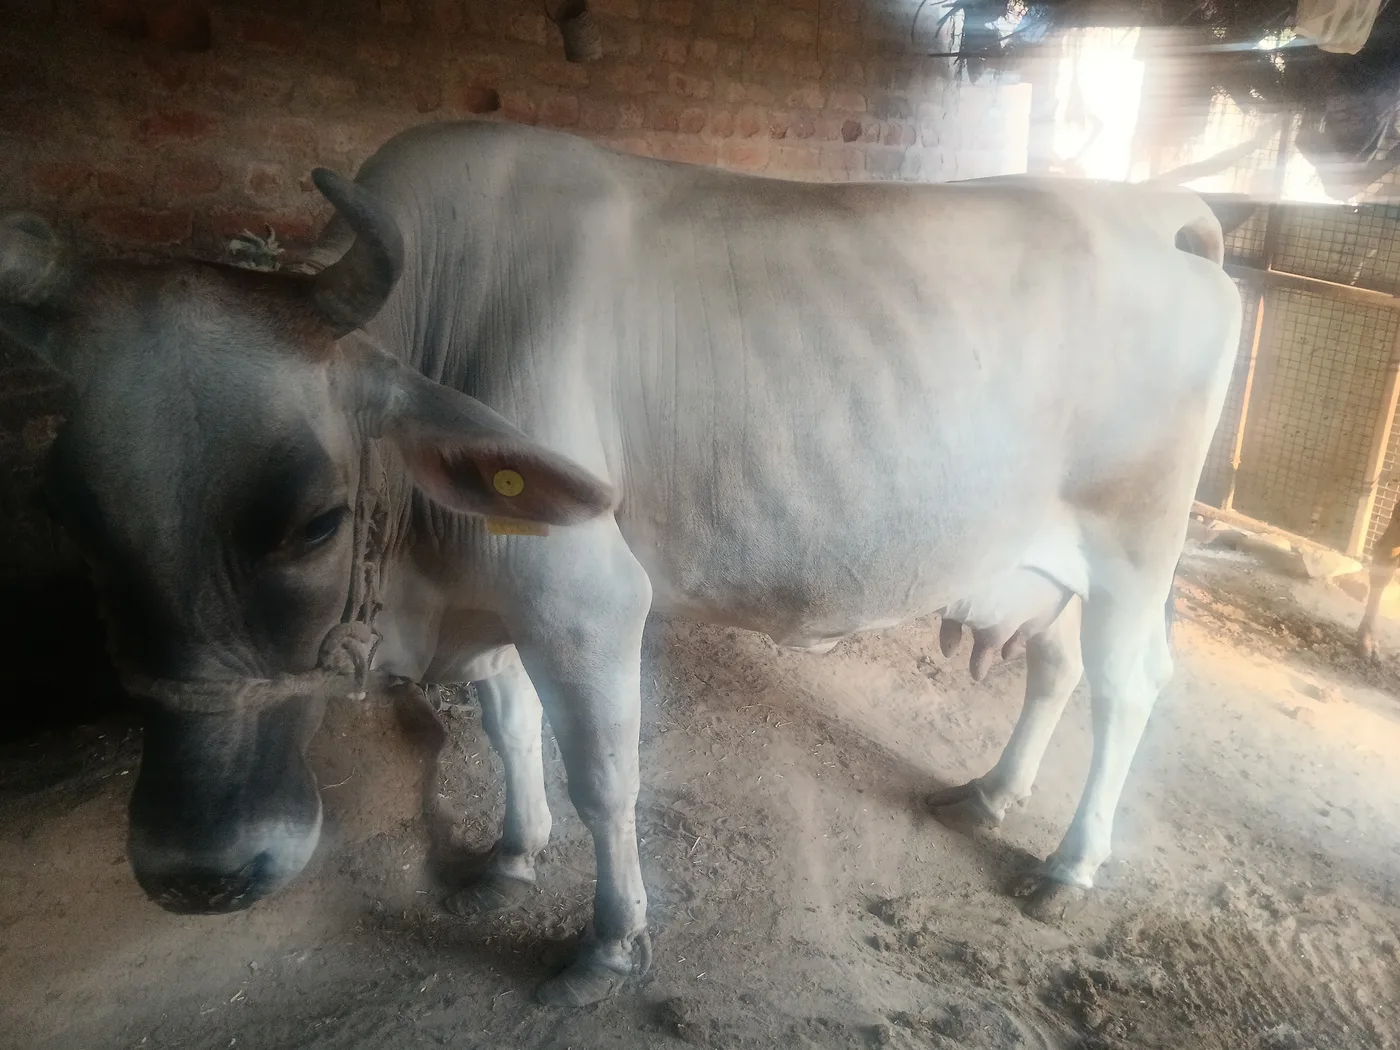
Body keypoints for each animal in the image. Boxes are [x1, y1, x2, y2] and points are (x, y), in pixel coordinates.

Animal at [0, 120, 1242, 1007]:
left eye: (315, 519)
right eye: (68, 512)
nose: (199, 870)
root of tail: (1151, 212)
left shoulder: (588, 601)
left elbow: (604, 777)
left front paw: (607, 943)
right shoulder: (500, 599)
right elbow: (507, 728)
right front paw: (509, 853)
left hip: (1134, 543)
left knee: (1127, 688)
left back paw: (1068, 865)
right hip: (1053, 562)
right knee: (1057, 668)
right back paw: (988, 792)